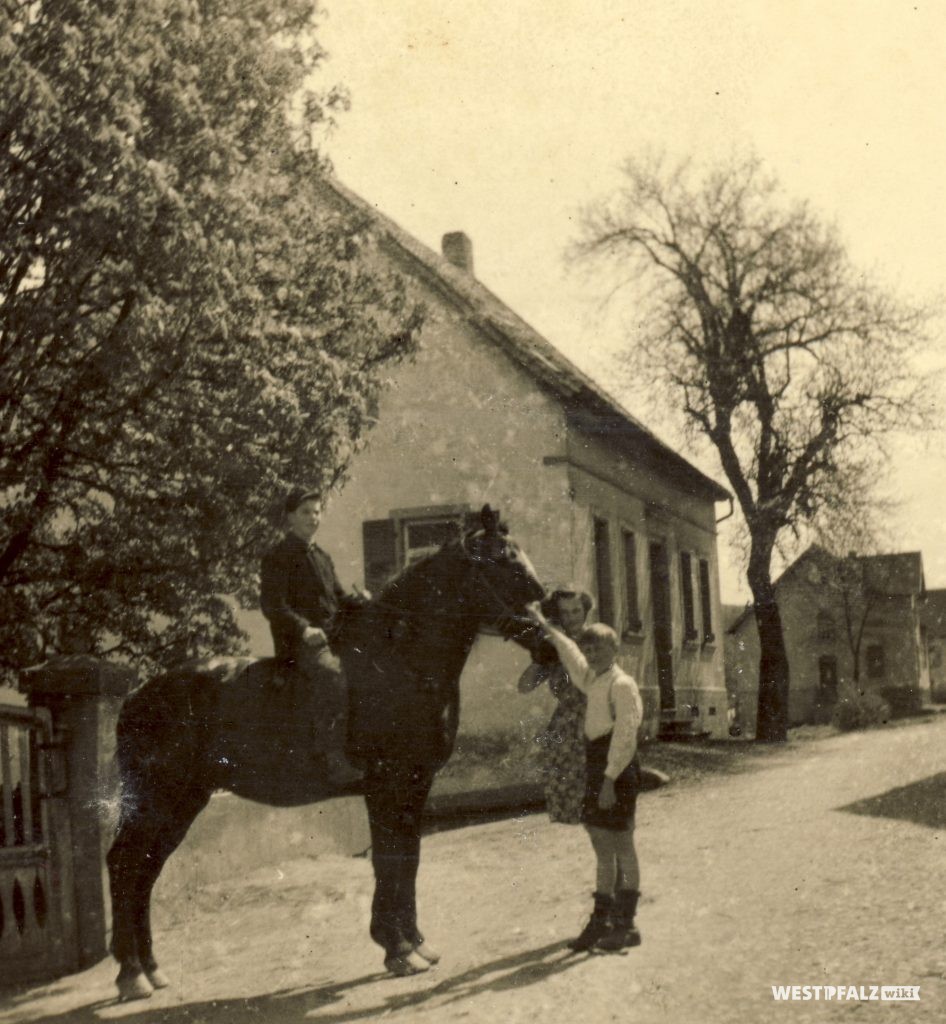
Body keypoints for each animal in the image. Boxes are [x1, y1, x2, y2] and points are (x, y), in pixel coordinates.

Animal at [104, 503, 544, 999]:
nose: (544, 617)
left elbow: (409, 858)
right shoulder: (387, 786)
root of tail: (136, 695)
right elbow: (390, 858)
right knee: (124, 866)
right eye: (502, 560)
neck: (397, 661)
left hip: (183, 803)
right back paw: (132, 974)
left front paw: (415, 943)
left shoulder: (416, 785)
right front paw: (397, 948)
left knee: (144, 871)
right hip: (156, 801)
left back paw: (150, 968)